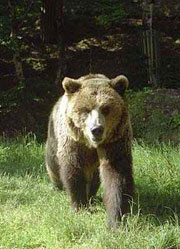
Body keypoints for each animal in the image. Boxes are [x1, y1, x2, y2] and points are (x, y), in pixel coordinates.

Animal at [45, 73, 134, 227]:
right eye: (85, 109)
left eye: (106, 108)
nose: (96, 129)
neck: (91, 144)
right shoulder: (74, 142)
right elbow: (73, 170)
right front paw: (80, 207)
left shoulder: (115, 141)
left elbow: (116, 175)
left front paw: (116, 218)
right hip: (53, 142)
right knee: (53, 167)